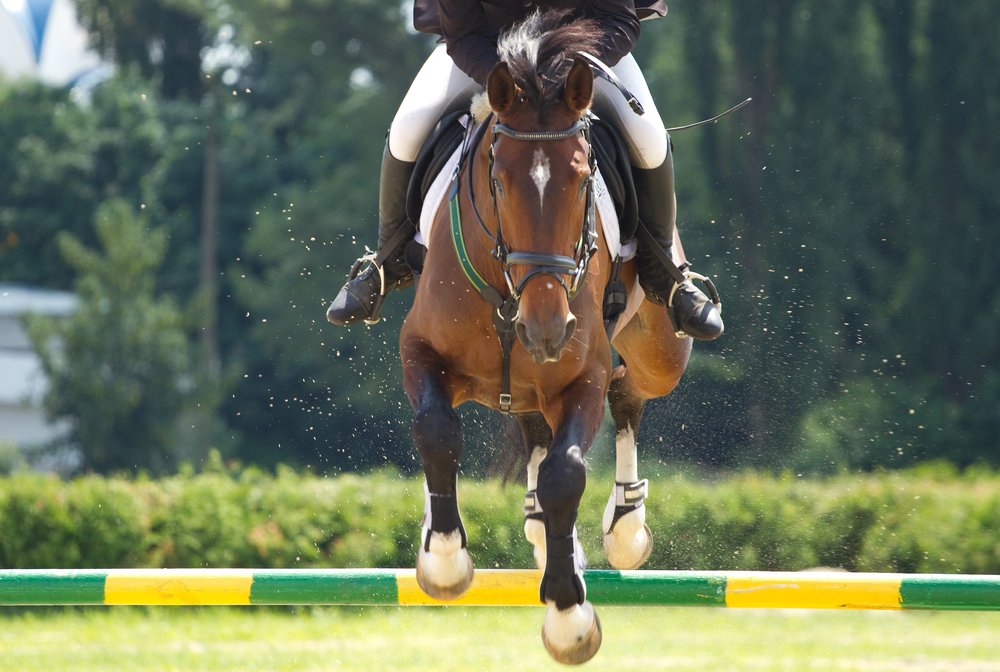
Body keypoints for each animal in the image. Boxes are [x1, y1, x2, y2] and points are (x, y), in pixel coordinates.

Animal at [398, 10, 691, 665]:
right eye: (499, 182)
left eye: (583, 181)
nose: (547, 329)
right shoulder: (420, 351)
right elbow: (437, 432)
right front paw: (444, 559)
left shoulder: (580, 375)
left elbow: (566, 471)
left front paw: (568, 617)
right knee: (534, 428)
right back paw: (538, 528)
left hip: (659, 351)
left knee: (627, 394)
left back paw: (624, 526)